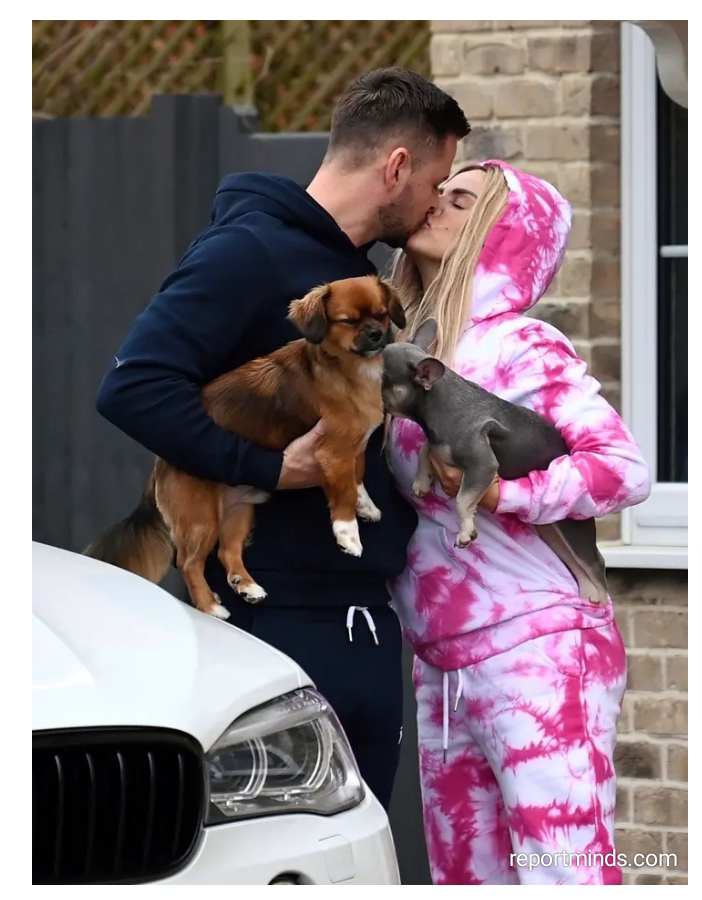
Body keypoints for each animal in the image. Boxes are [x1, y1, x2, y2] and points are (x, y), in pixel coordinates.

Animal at [84, 275, 407, 618]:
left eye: (382, 314)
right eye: (348, 321)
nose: (376, 333)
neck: (347, 368)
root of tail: (160, 464)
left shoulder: (353, 448)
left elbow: (356, 477)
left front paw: (365, 505)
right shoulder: (332, 452)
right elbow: (342, 493)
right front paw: (348, 534)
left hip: (239, 513)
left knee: (227, 552)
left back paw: (247, 586)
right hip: (201, 520)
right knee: (188, 562)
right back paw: (210, 606)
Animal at [381, 318, 608, 605]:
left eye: (381, 378)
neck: (435, 402)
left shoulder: (482, 465)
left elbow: (462, 500)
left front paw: (466, 531)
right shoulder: (438, 443)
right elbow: (426, 448)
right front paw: (421, 480)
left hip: (573, 526)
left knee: (593, 561)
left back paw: (601, 597)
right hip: (551, 530)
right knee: (572, 560)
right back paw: (588, 591)